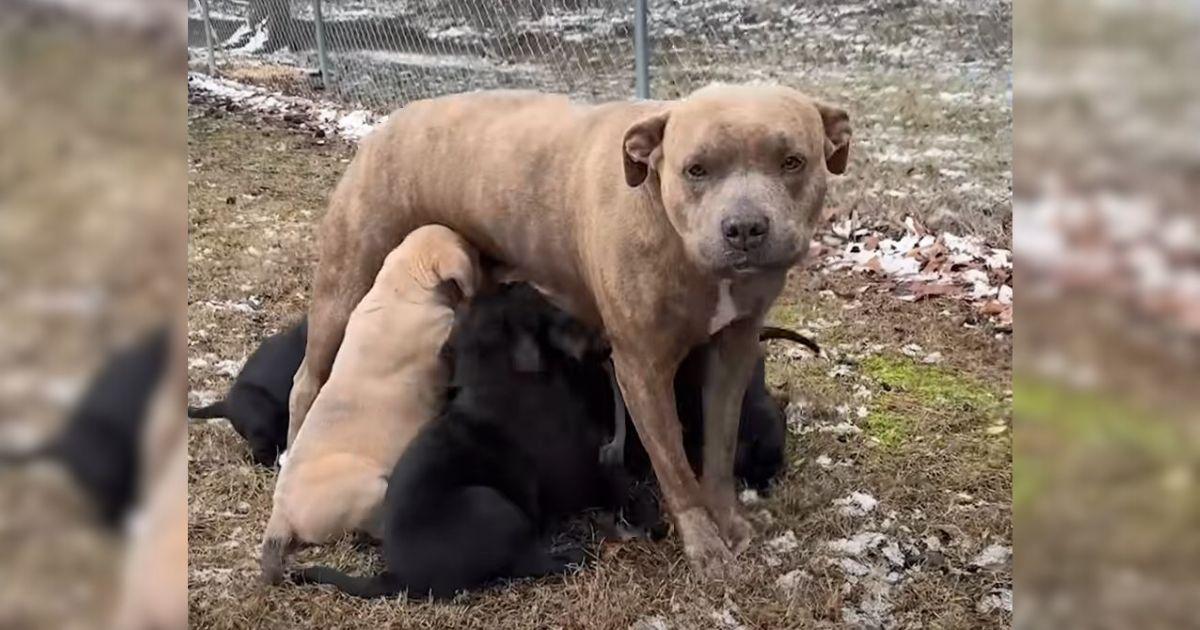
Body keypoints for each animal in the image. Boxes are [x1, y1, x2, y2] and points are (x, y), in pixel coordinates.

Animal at [294, 284, 643, 600]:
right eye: (540, 307)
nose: (606, 344)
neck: (498, 374)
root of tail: (397, 576)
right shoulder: (575, 471)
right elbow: (611, 484)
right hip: (491, 504)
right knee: (524, 562)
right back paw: (571, 556)